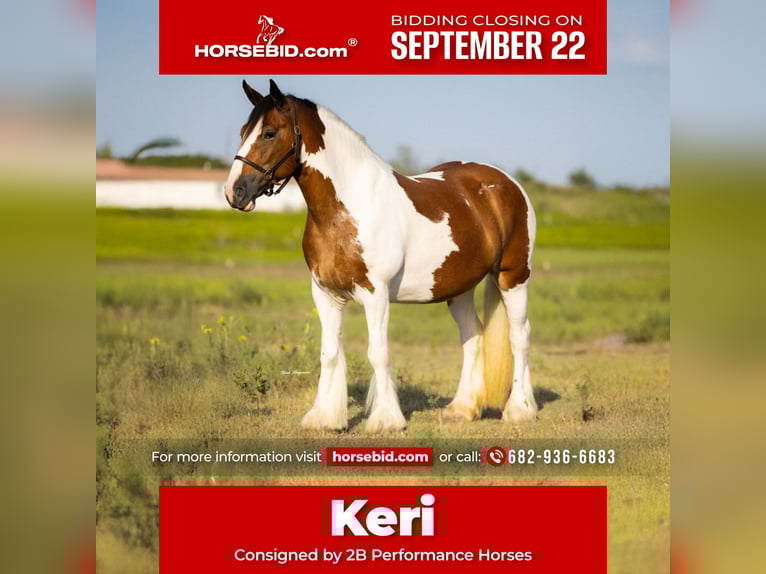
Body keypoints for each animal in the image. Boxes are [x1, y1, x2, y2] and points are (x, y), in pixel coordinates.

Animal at [224, 79, 539, 432]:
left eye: (269, 133)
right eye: (243, 131)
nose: (235, 192)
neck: (347, 209)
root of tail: (506, 183)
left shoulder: (375, 294)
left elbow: (378, 353)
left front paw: (386, 419)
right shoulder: (325, 294)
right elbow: (329, 353)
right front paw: (324, 417)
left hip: (514, 277)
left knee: (519, 337)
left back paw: (520, 410)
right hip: (460, 288)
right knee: (473, 335)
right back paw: (462, 409)